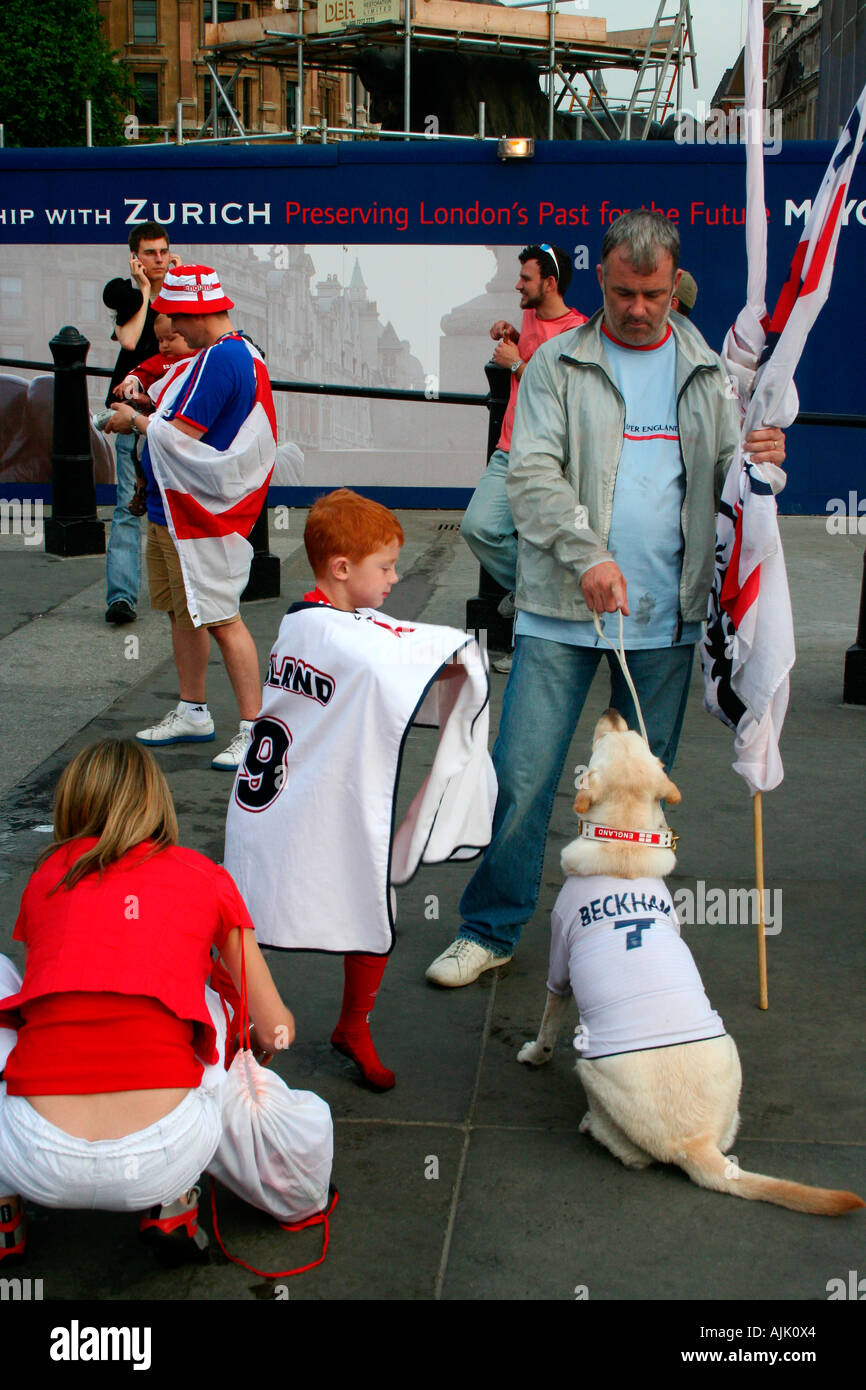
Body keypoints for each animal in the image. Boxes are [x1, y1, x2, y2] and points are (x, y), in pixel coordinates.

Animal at [517, 711, 861, 1212]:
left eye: (611, 739)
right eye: (632, 737)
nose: (614, 712)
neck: (624, 847)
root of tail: (694, 1142)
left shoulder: (560, 962)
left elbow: (547, 1023)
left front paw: (532, 1055)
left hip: (590, 1066)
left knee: (630, 1152)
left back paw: (592, 1126)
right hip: (729, 1056)